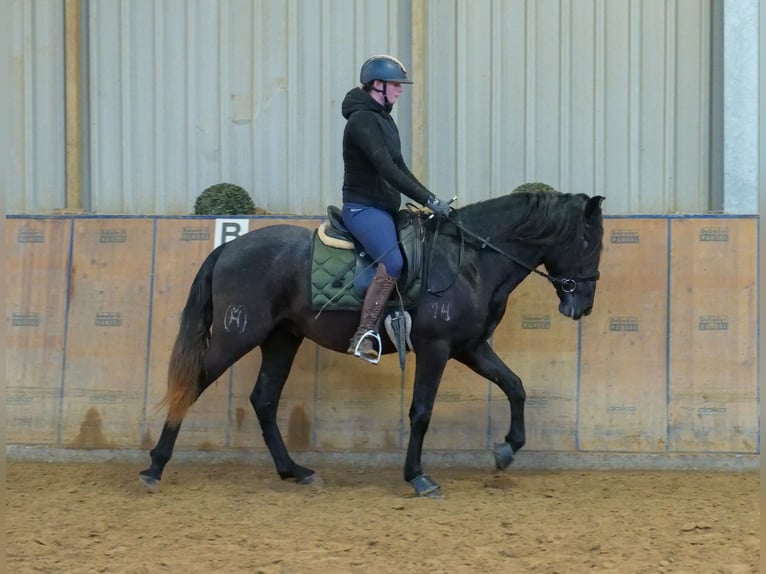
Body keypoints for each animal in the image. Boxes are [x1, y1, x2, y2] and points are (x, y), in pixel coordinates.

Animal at [140, 191, 608, 498]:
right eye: (589, 241)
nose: (582, 305)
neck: (470, 260)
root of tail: (230, 248)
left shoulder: (470, 347)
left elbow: (515, 386)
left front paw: (507, 450)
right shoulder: (438, 348)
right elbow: (421, 411)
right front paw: (419, 477)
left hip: (281, 339)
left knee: (264, 399)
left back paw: (295, 471)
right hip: (238, 334)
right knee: (193, 385)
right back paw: (154, 467)